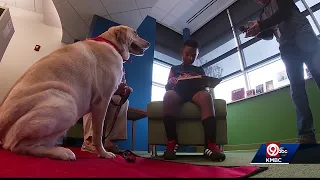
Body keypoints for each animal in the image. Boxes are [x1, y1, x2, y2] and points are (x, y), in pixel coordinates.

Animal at [0, 25, 150, 160]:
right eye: (135, 33)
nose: (149, 43)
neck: (111, 43)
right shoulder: (102, 100)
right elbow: (98, 133)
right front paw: (103, 153)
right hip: (68, 105)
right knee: (17, 146)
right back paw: (62, 152)